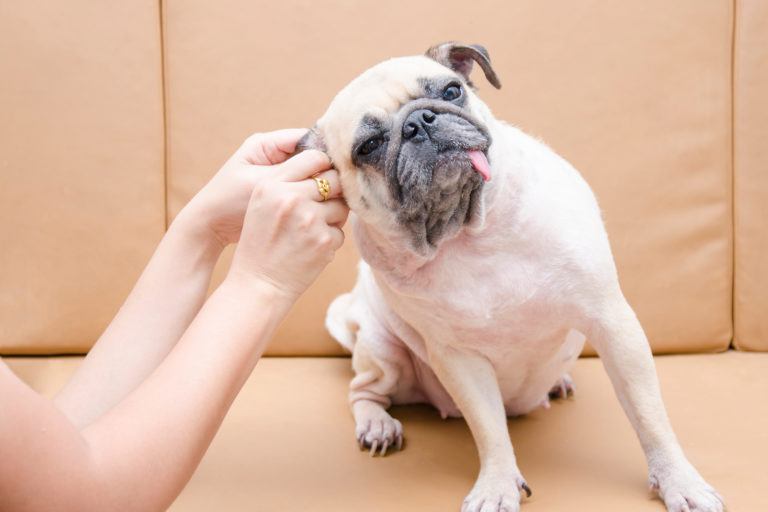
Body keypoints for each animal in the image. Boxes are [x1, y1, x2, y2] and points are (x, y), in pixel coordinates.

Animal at [300, 43, 728, 512]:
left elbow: (650, 416)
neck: (467, 235)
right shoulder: (459, 359)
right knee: (364, 390)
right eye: (370, 146)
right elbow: (489, 429)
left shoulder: (612, 323)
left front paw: (678, 480)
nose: (419, 123)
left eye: (451, 91)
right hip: (383, 350)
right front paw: (497, 484)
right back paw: (377, 424)